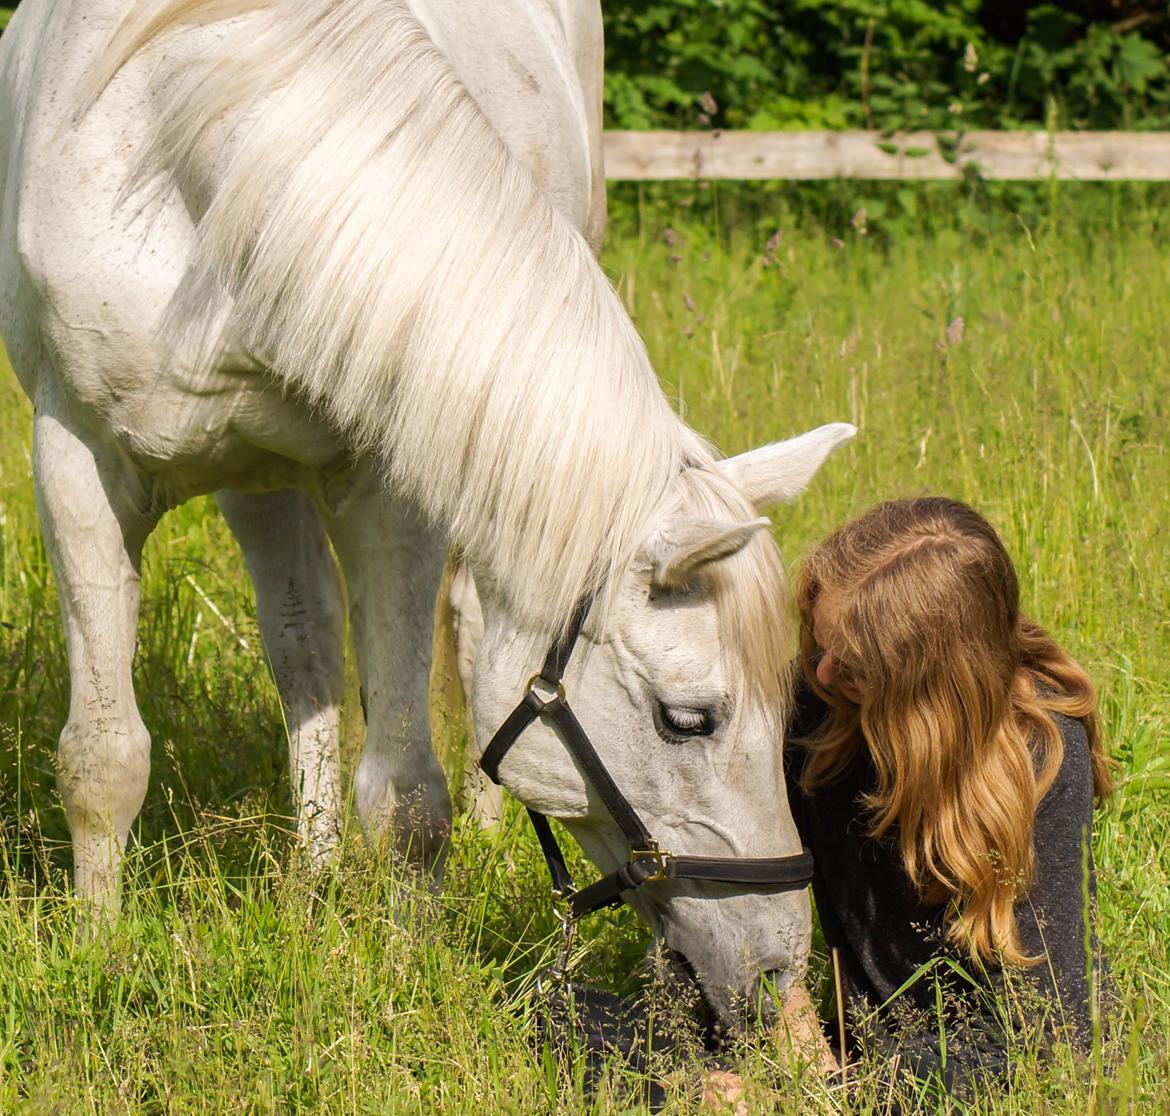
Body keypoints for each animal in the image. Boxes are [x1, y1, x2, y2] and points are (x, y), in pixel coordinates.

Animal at [2, 0, 851, 1020]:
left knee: (464, 625)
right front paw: (97, 956)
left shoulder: (394, 482)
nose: (776, 971)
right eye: (690, 719)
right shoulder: (75, 460)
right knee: (305, 646)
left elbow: (408, 797)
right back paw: (316, 876)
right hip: (259, 478)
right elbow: (103, 757)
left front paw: (408, 981)